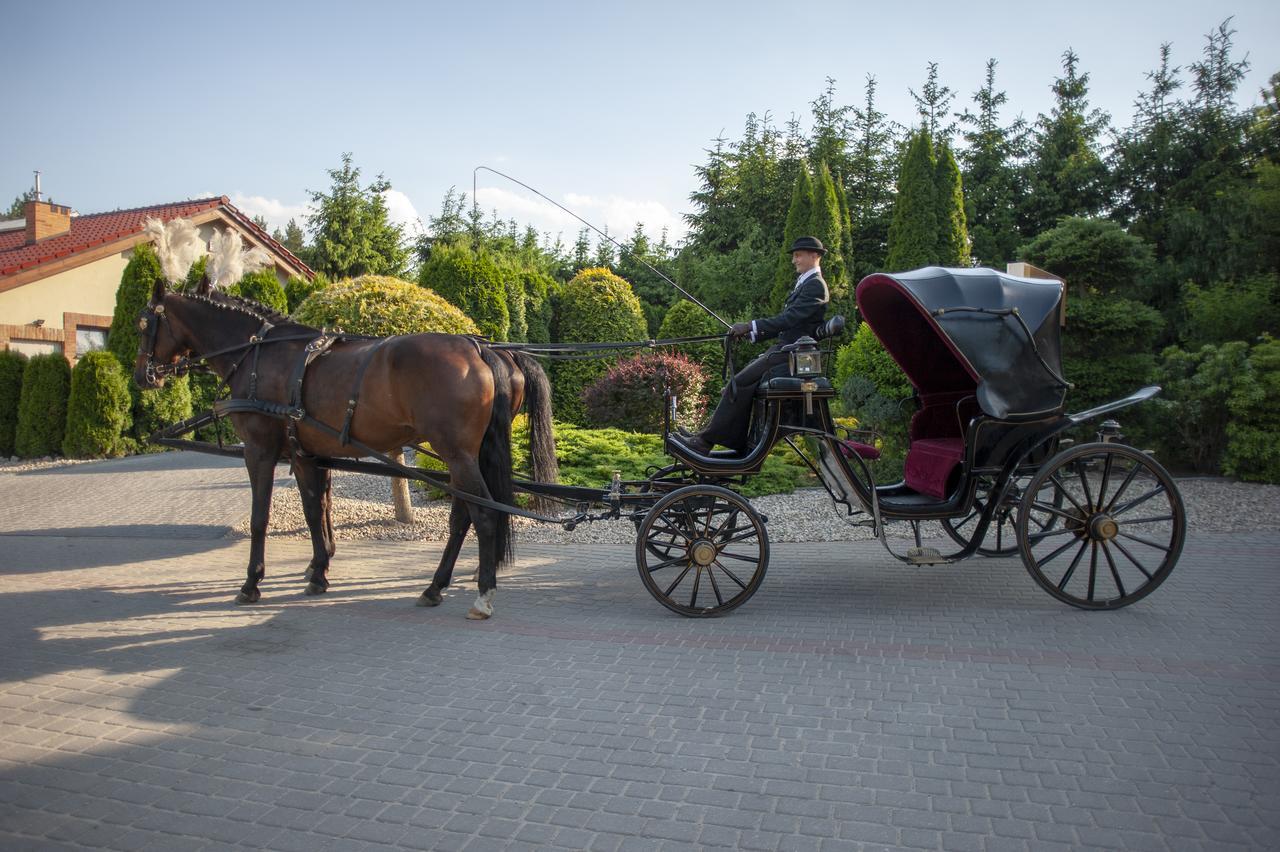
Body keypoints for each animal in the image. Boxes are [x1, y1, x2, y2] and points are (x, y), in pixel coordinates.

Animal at [132, 273, 558, 616]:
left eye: (142, 324)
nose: (141, 377)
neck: (258, 355)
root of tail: (479, 348)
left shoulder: (259, 451)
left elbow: (260, 518)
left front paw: (252, 583)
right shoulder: (306, 454)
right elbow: (314, 510)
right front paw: (318, 571)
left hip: (457, 454)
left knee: (483, 515)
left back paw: (482, 594)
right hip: (465, 456)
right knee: (463, 517)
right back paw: (435, 586)